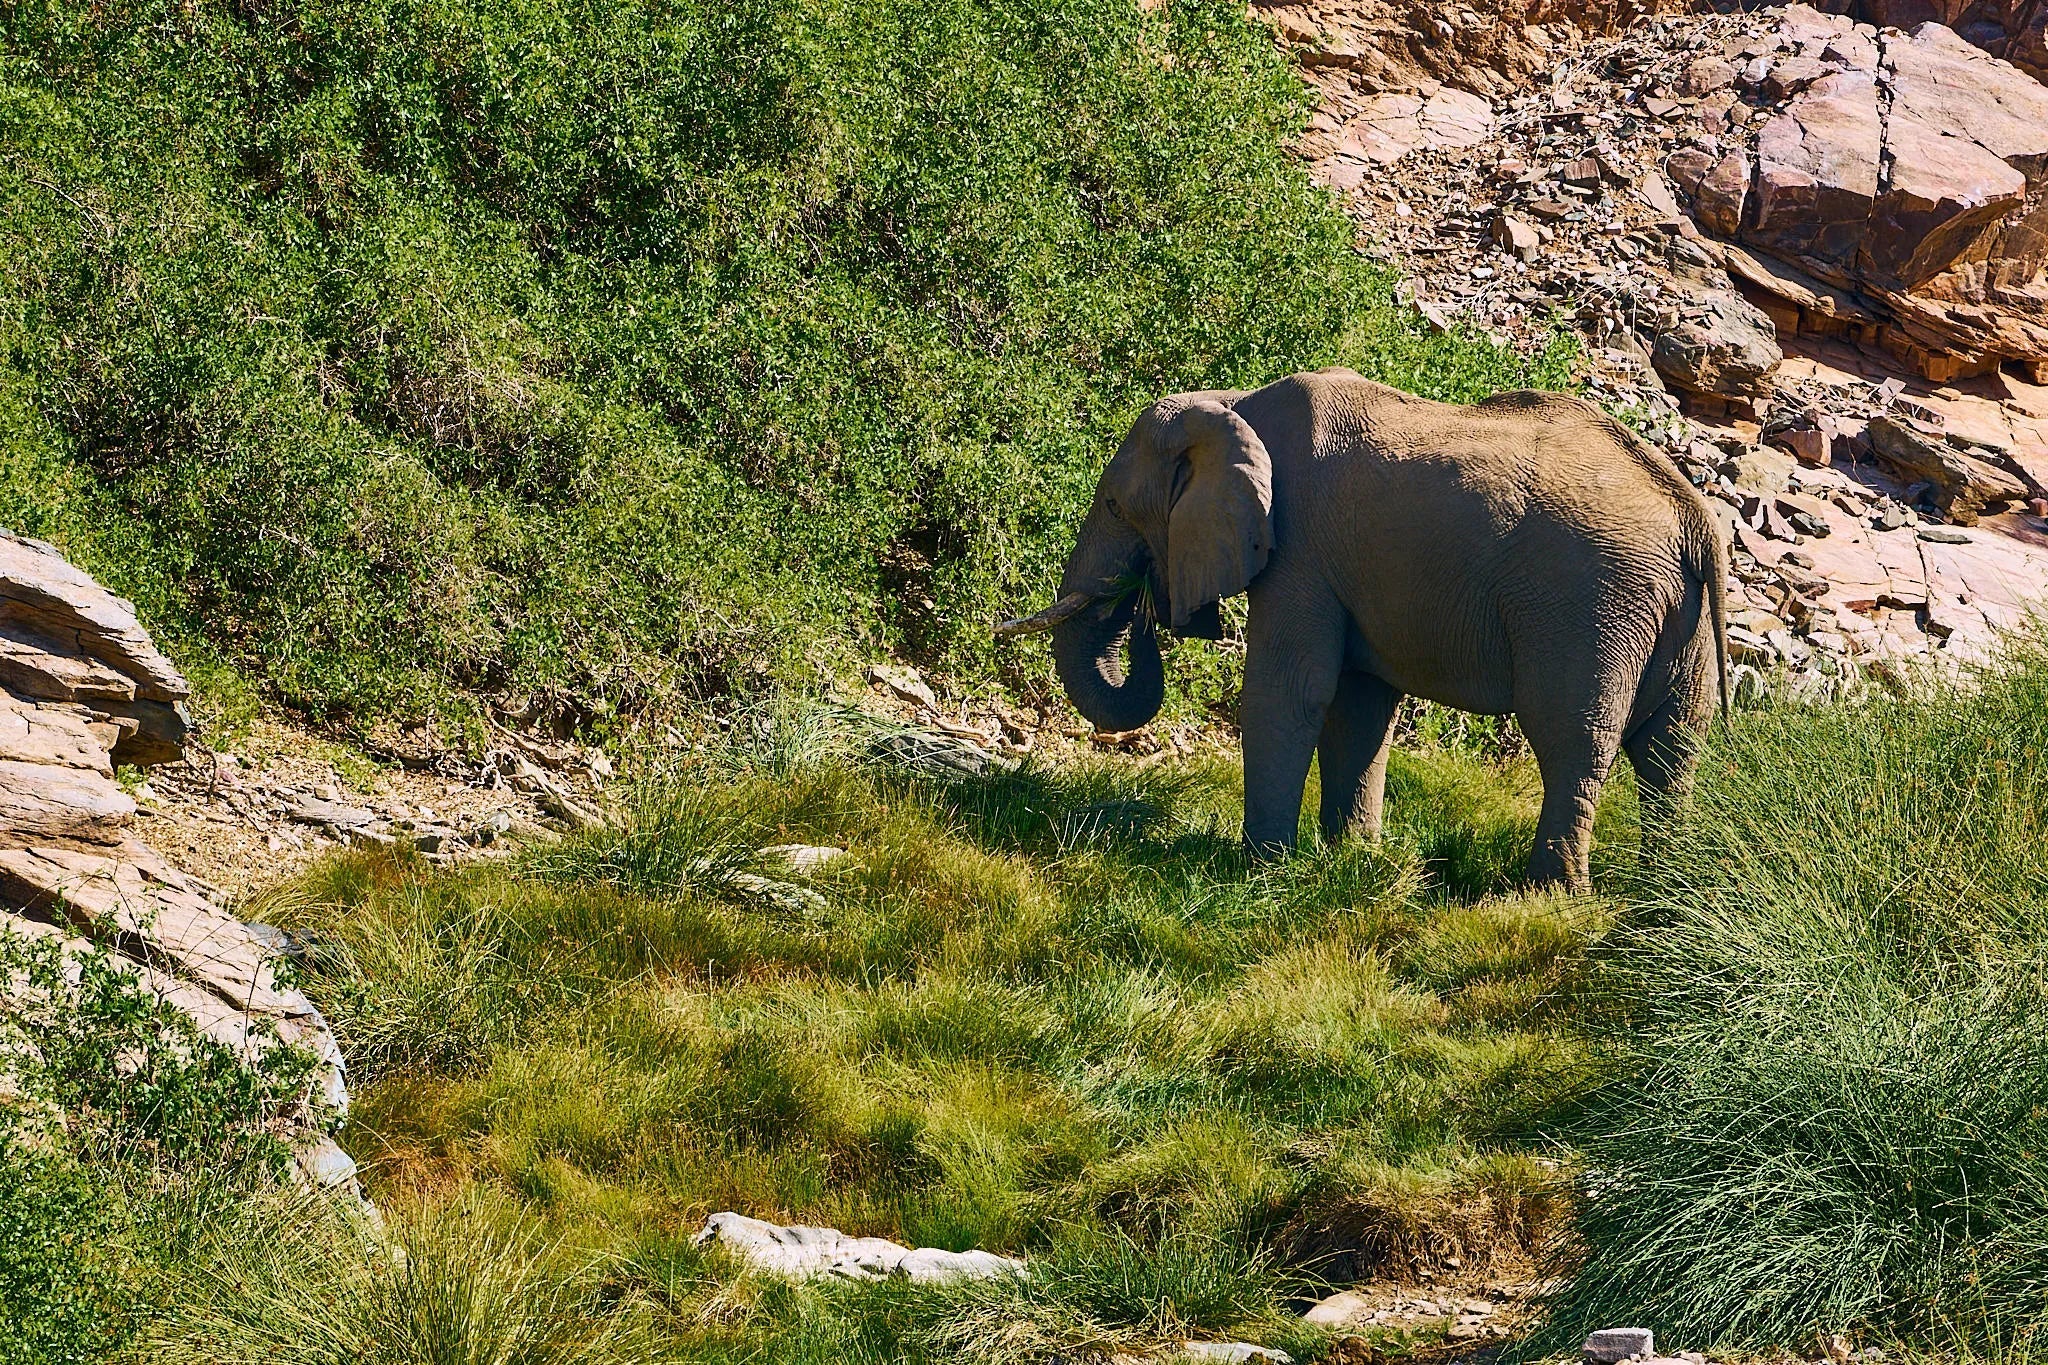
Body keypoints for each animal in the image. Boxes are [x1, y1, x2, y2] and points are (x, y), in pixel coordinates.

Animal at [997, 368, 1728, 891]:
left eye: (1115, 505)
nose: (1147, 604)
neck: (1234, 405)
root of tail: (1690, 512)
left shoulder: (1299, 551)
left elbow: (1290, 691)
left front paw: (1259, 867)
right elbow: (1359, 706)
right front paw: (1350, 860)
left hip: (1589, 603)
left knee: (1573, 739)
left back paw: (1549, 895)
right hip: (1674, 619)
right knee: (1672, 749)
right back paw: (1661, 894)